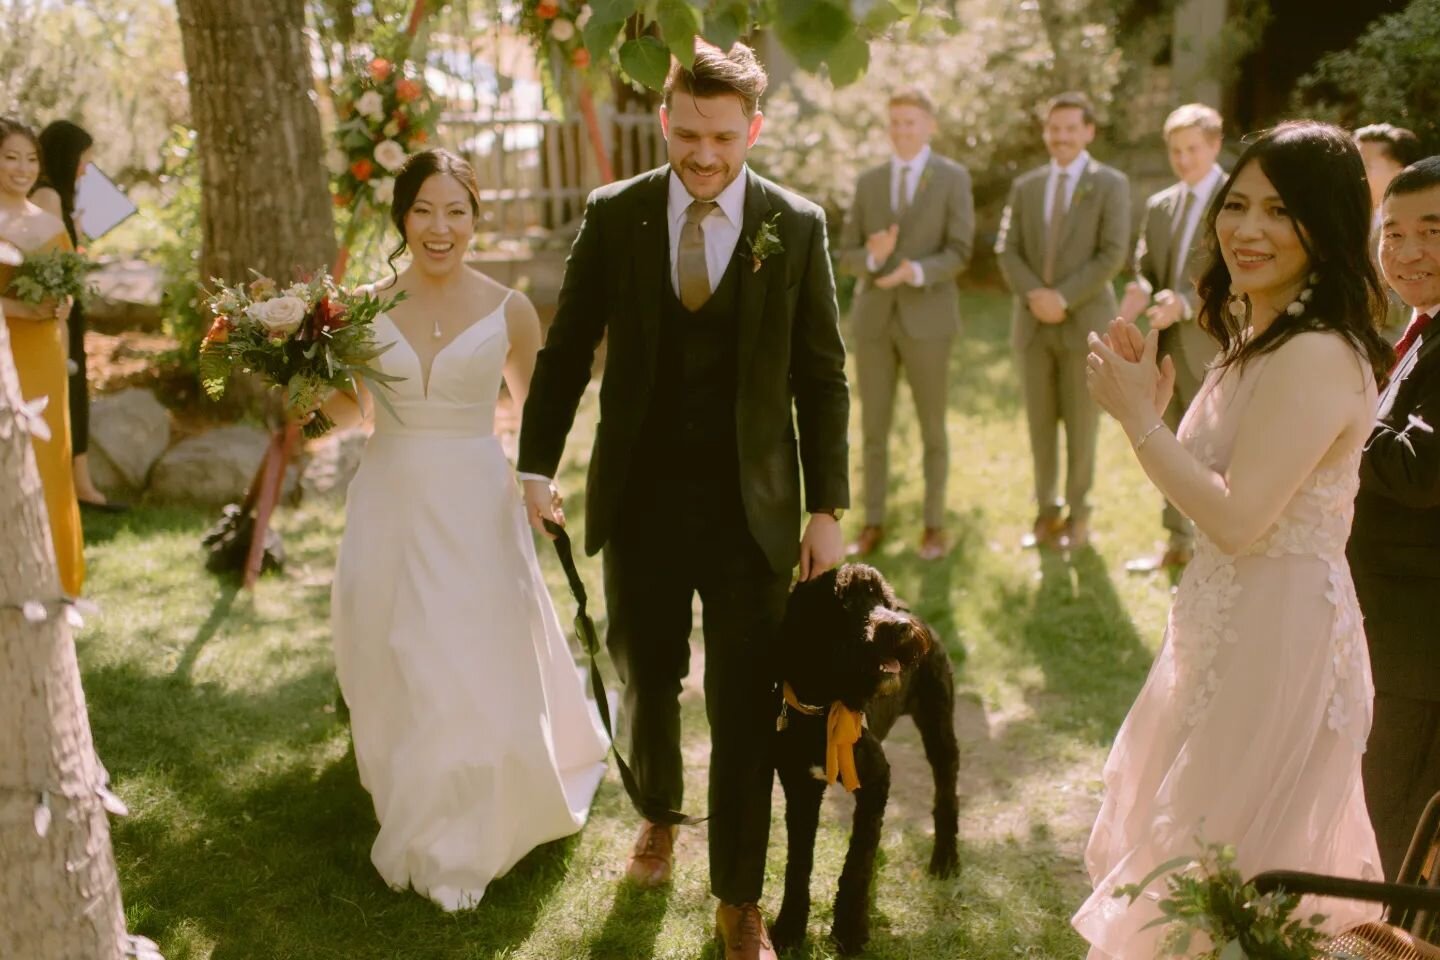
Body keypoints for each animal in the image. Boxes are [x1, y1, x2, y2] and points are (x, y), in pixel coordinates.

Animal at [771, 564, 961, 955]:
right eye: (846, 604)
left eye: (879, 599)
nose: (901, 626)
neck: (823, 711)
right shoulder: (800, 789)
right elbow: (798, 861)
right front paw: (789, 928)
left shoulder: (875, 782)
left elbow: (857, 860)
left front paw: (849, 931)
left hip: (938, 725)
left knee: (947, 787)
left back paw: (945, 858)